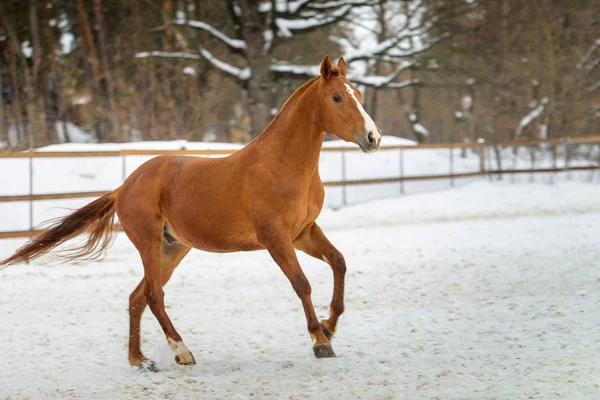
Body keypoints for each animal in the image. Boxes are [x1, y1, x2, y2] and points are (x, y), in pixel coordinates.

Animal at [0, 55, 382, 368]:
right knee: (153, 295)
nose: (373, 137)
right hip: (150, 243)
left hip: (173, 248)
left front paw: (330, 327)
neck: (283, 165)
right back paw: (181, 351)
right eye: (337, 97)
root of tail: (125, 186)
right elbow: (301, 283)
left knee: (137, 297)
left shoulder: (303, 232)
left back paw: (140, 360)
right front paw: (320, 341)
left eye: (358, 95)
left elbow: (339, 262)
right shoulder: (276, 238)